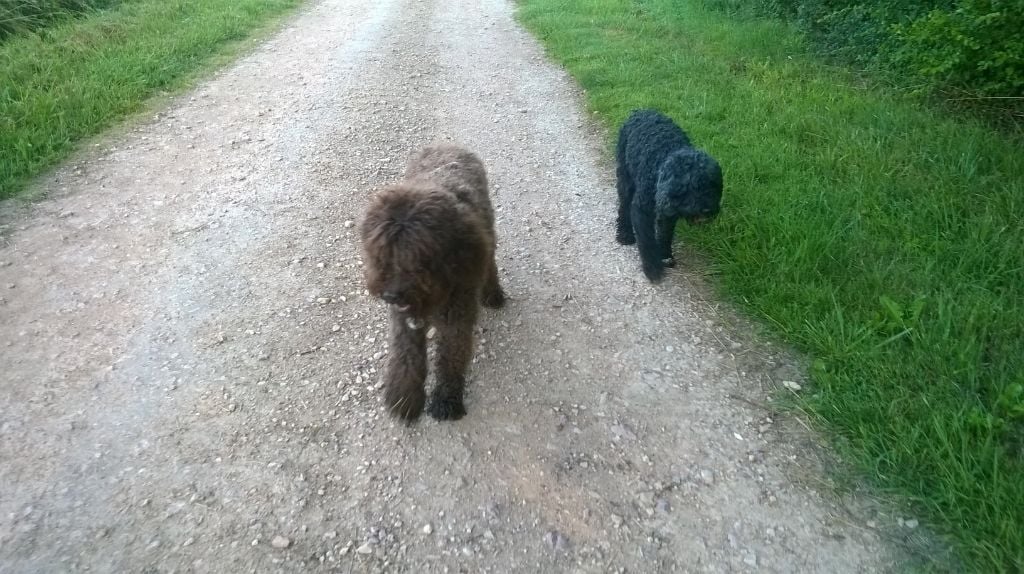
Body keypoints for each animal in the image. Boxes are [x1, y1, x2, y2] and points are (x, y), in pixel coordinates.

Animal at [360, 143, 503, 421]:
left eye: (418, 257)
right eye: (383, 254)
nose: (390, 295)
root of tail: (448, 146)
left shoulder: (456, 319)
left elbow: (450, 357)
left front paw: (446, 400)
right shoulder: (404, 322)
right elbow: (405, 358)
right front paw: (404, 399)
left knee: (491, 261)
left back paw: (494, 293)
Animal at [614, 108, 720, 280]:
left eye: (714, 185)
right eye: (693, 187)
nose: (708, 209)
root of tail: (640, 110)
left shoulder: (668, 213)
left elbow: (665, 234)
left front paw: (665, 255)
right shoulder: (643, 210)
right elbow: (647, 239)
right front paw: (653, 268)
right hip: (625, 177)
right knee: (623, 205)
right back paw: (625, 233)